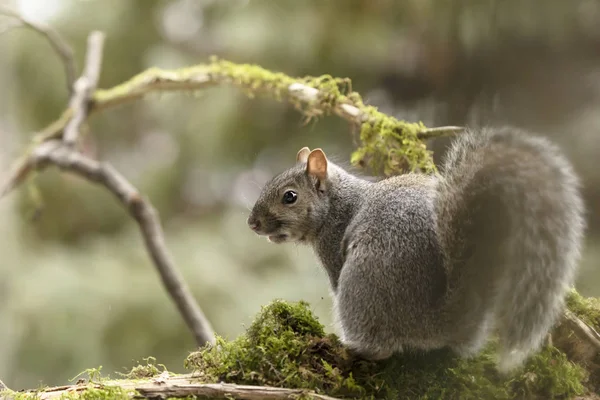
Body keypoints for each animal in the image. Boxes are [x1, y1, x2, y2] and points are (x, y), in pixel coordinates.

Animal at [246, 126, 584, 372]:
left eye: (289, 197)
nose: (252, 223)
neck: (337, 205)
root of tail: (439, 321)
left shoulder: (334, 251)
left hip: (361, 282)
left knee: (380, 348)